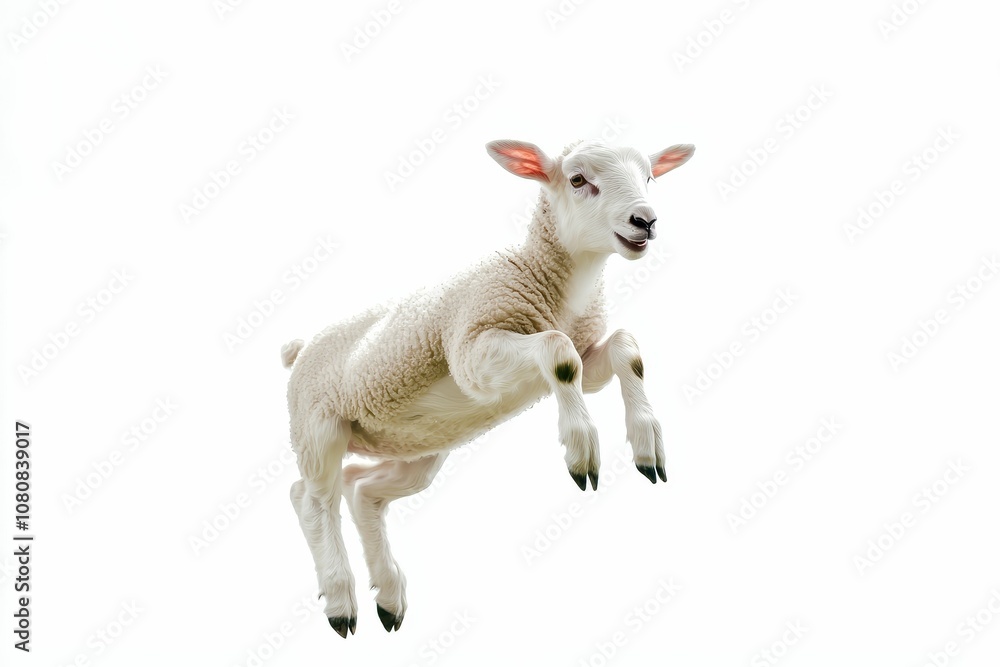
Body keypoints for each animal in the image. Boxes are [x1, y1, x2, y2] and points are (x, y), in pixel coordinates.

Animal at [283, 137, 695, 637]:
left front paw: (647, 443)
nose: (645, 221)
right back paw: (341, 600)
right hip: (317, 426)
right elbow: (560, 355)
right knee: (312, 500)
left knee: (362, 491)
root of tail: (301, 347)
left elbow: (623, 350)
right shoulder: (472, 353)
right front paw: (581, 448)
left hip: (415, 446)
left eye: (650, 176)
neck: (554, 285)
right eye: (578, 179)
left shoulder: (584, 352)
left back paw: (389, 597)